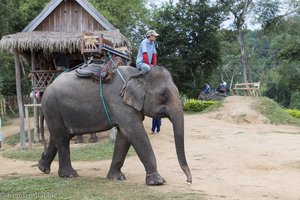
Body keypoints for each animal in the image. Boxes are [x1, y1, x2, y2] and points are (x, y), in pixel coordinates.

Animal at [38, 65, 192, 186]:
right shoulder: (120, 103)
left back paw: (43, 168)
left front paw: (116, 178)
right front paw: (158, 181)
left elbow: (124, 137)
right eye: (163, 95)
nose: (188, 181)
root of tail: (46, 89)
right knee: (62, 138)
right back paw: (69, 175)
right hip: (53, 108)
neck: (138, 74)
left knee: (60, 137)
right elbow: (134, 133)